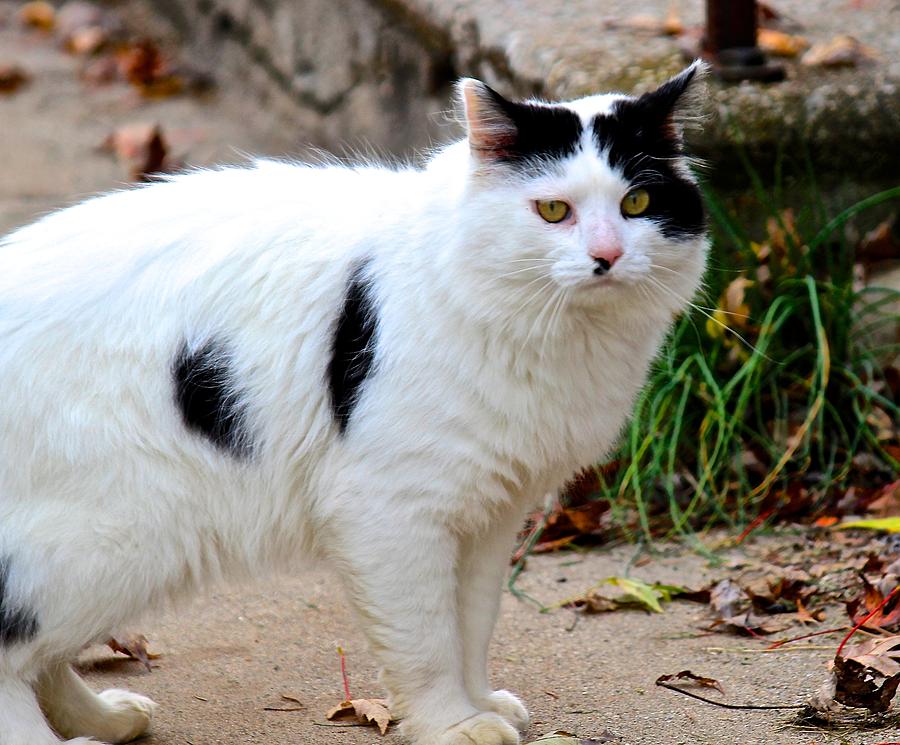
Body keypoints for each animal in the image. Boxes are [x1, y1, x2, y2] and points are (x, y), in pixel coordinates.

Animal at [0, 64, 712, 744]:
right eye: (554, 210)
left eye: (637, 202)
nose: (607, 255)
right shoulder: (392, 509)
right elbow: (427, 640)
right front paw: (452, 724)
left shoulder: (488, 512)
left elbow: (472, 623)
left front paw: (479, 702)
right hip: (107, 540)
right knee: (12, 650)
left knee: (42, 658)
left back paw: (103, 719)